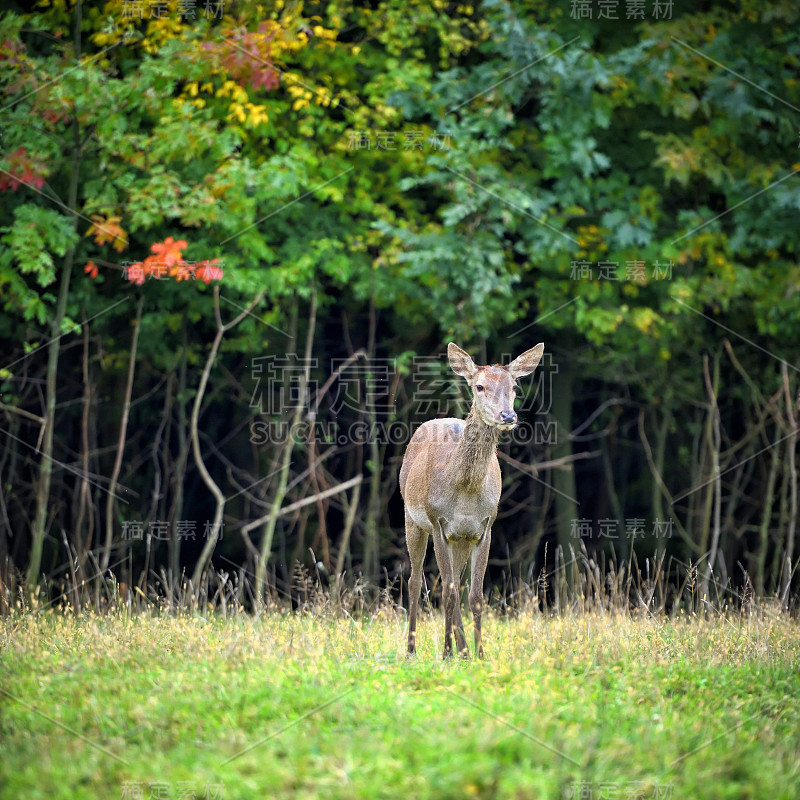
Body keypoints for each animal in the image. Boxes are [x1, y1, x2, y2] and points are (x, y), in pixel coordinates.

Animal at [398, 340, 544, 660]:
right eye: (479, 386)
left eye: (514, 386)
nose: (508, 416)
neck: (464, 492)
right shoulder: (438, 522)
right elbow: (448, 592)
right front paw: (446, 653)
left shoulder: (484, 527)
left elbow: (474, 595)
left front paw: (479, 654)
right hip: (411, 518)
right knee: (415, 581)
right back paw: (411, 649)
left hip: (460, 539)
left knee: (455, 581)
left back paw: (463, 649)